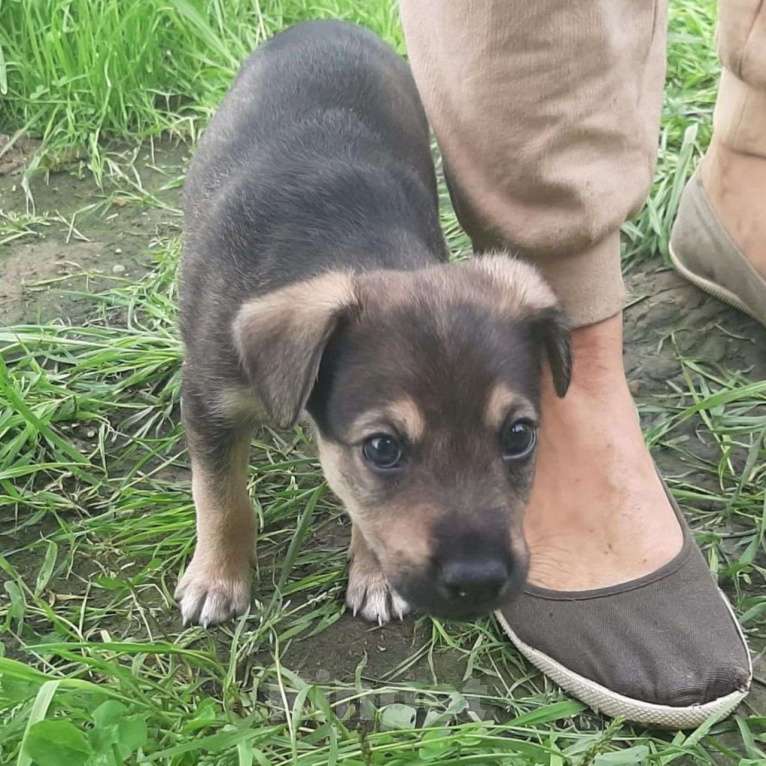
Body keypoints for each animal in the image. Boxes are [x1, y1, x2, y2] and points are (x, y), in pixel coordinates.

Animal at [176, 19, 568, 632]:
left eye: (518, 436)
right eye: (383, 449)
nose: (479, 582)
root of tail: (324, 22)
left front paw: (375, 577)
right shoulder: (208, 398)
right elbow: (220, 496)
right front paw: (217, 578)